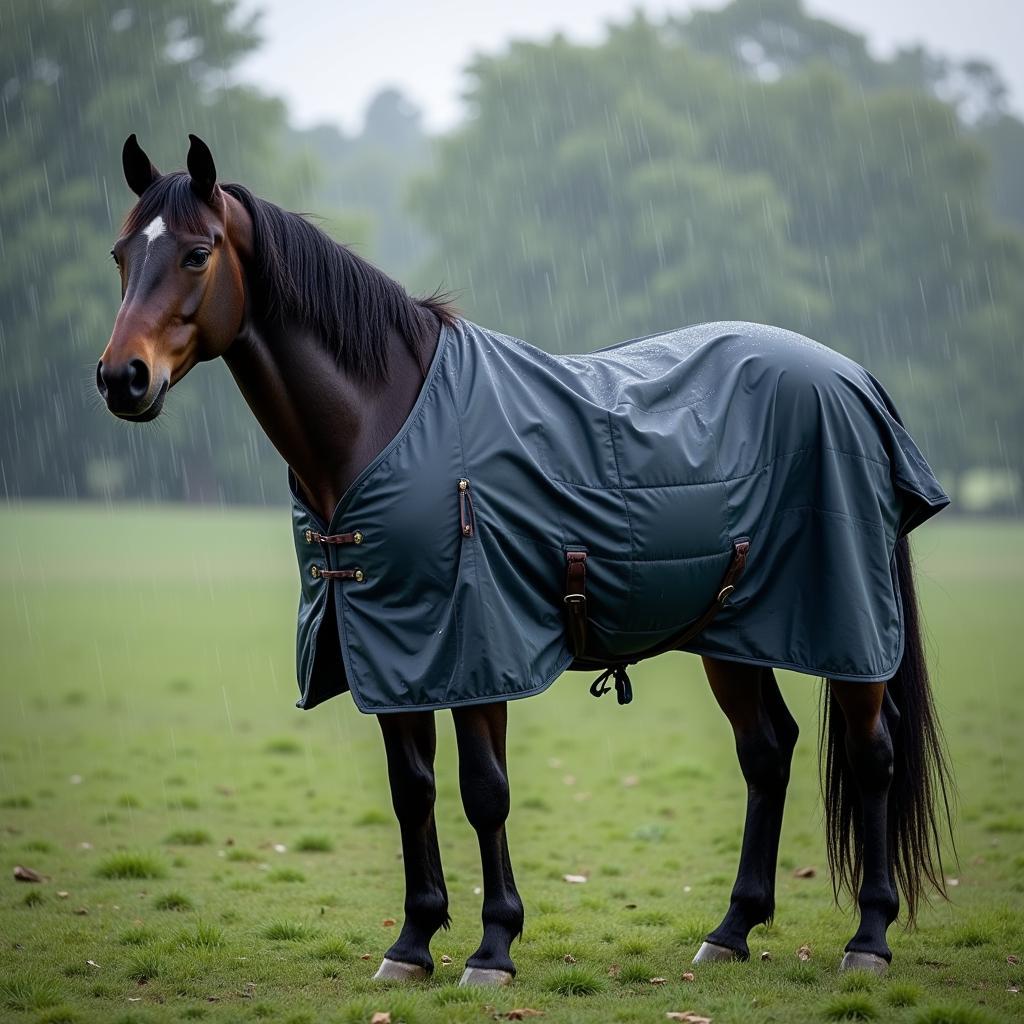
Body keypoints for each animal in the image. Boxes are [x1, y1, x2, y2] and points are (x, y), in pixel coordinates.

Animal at [96, 134, 950, 983]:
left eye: (198, 253)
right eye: (120, 255)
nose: (120, 378)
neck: (386, 419)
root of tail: (855, 380)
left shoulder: (474, 650)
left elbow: (484, 791)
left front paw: (493, 947)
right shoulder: (391, 652)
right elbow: (412, 791)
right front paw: (412, 943)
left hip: (845, 628)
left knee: (872, 754)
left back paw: (869, 938)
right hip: (732, 631)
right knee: (767, 753)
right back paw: (732, 928)